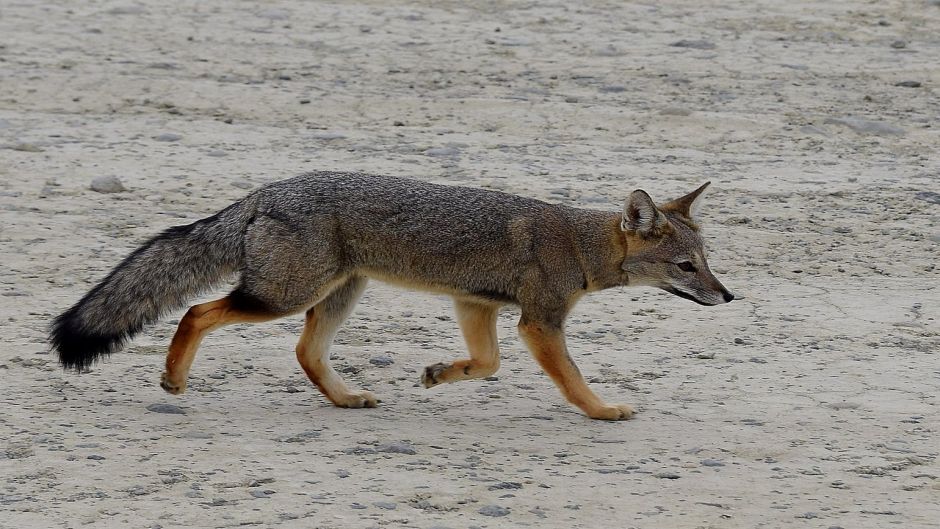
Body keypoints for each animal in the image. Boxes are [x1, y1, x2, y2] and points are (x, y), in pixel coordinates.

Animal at [47, 173, 732, 420]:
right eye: (687, 266)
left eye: (708, 262)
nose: (728, 296)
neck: (578, 242)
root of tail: (265, 190)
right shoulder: (539, 323)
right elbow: (570, 380)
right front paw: (601, 410)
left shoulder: (476, 304)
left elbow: (487, 364)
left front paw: (437, 374)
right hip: (283, 297)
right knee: (196, 311)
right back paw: (173, 378)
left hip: (339, 295)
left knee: (304, 353)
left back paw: (347, 397)